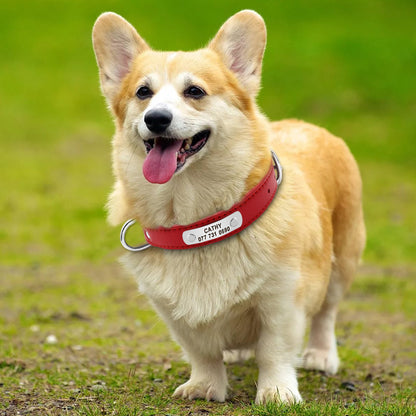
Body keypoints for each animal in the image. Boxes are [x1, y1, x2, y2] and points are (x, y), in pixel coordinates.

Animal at [93, 9, 364, 404]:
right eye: (143, 92)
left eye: (195, 91)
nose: (156, 118)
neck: (197, 221)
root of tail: (308, 125)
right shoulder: (174, 313)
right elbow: (202, 352)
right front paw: (204, 386)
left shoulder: (282, 300)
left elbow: (274, 351)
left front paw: (277, 392)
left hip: (343, 258)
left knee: (327, 313)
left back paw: (321, 355)